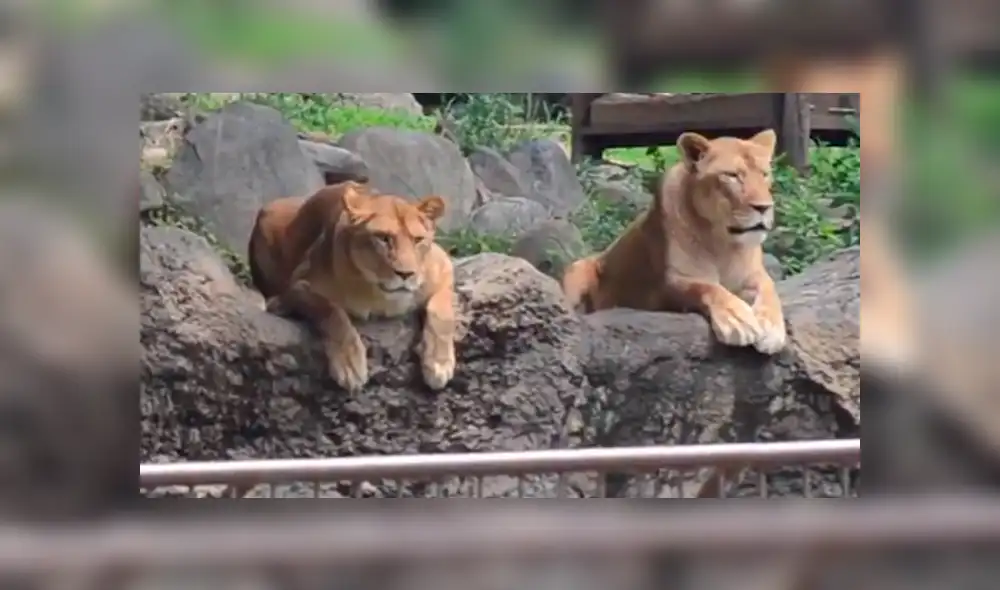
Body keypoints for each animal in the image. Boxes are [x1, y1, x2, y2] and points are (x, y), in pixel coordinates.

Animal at [248, 181, 457, 392]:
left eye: (418, 240)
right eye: (383, 238)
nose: (406, 274)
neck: (379, 294)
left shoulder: (445, 268)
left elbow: (441, 313)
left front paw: (439, 364)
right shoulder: (299, 283)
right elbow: (332, 311)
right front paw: (349, 365)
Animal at [561, 129, 786, 354]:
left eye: (764, 174)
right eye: (732, 176)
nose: (764, 207)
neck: (723, 243)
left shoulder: (754, 274)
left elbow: (769, 289)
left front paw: (772, 328)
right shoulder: (669, 283)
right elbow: (707, 288)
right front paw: (737, 321)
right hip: (577, 270)